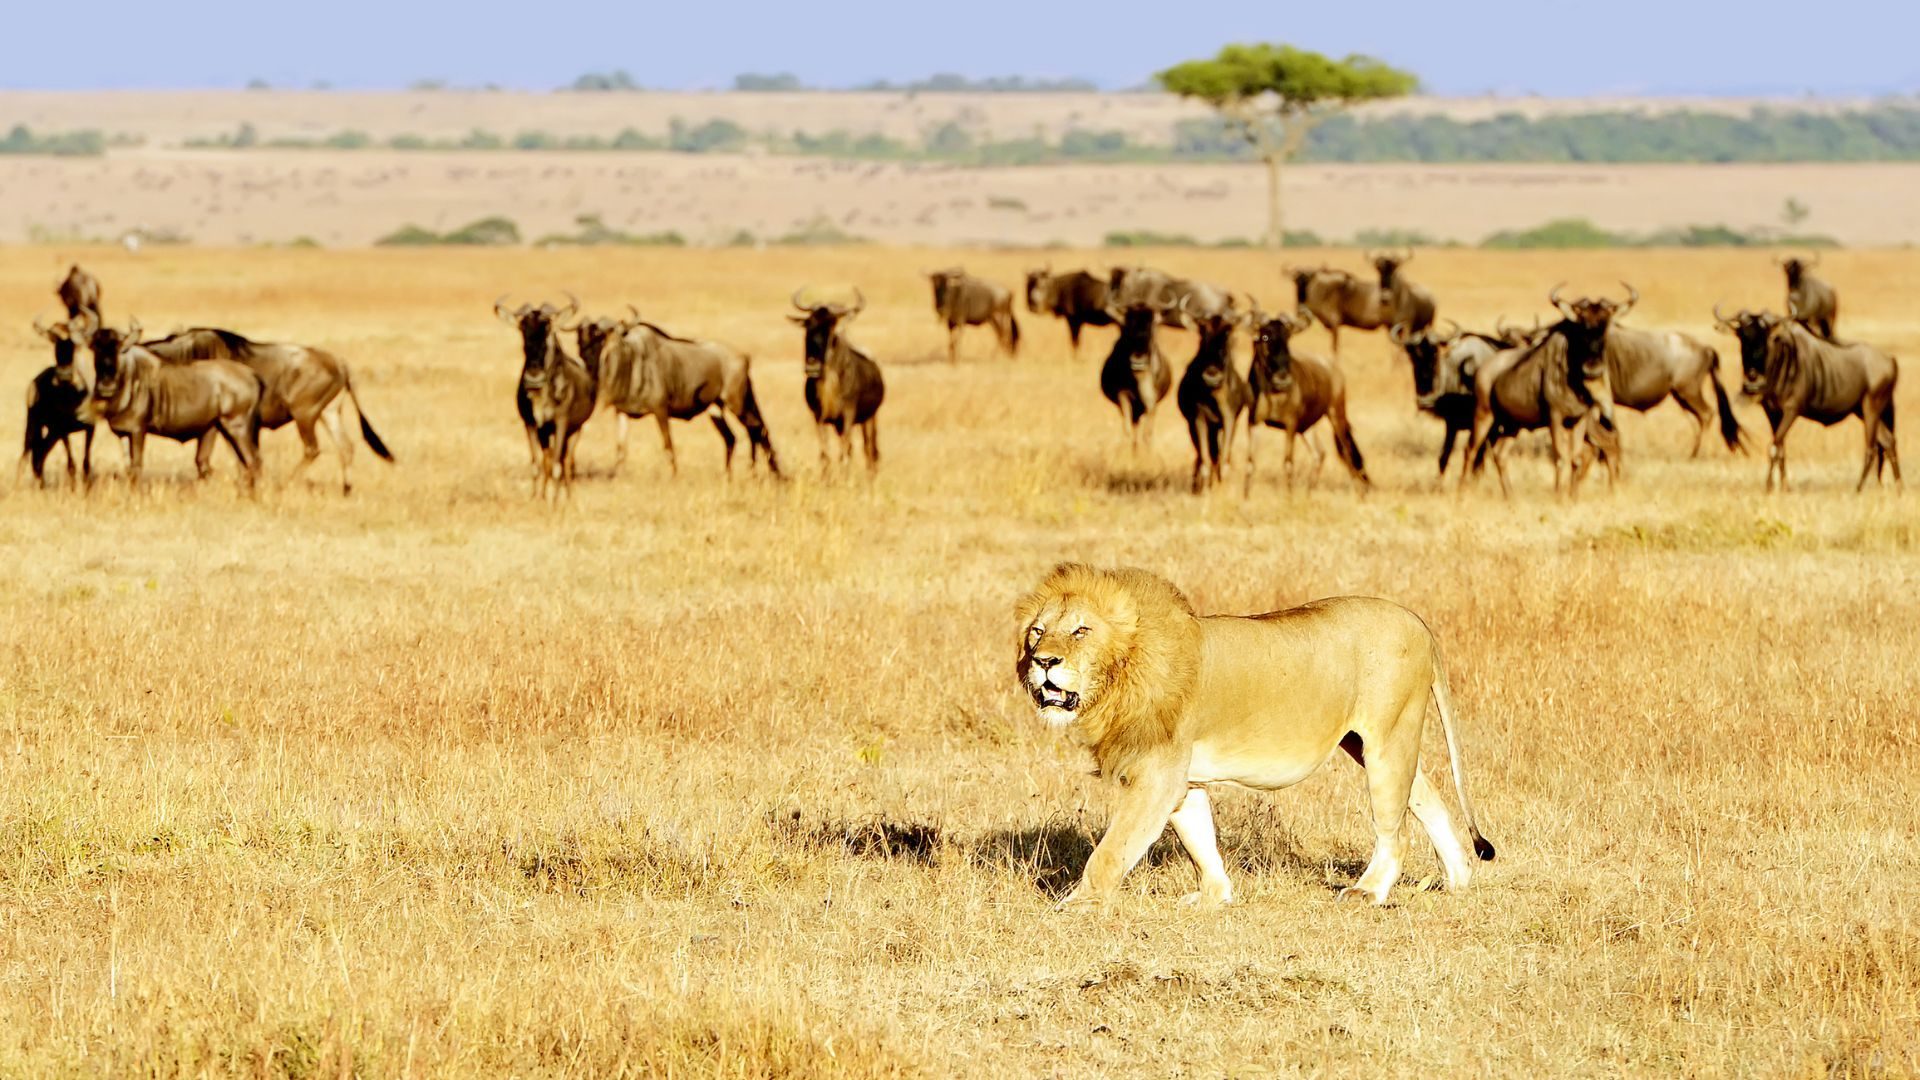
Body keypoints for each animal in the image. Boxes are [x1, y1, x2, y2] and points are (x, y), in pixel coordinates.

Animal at [1014, 563, 1495, 909]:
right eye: (1037, 631)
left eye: (1081, 630)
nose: (1044, 661)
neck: (1121, 675)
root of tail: (1418, 622)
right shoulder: (1182, 778)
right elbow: (1199, 840)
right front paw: (1216, 896)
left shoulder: (1157, 774)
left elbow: (1113, 849)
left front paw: (1077, 904)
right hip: (1368, 743)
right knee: (1427, 796)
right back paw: (1458, 878)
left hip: (1387, 739)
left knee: (1396, 829)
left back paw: (1369, 892)